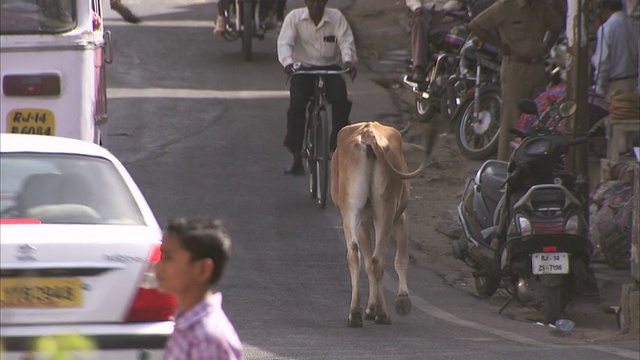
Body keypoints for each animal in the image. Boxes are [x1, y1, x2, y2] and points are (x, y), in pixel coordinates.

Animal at [330, 121, 424, 330]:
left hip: (351, 210)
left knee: (354, 256)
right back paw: (382, 313)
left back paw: (355, 314)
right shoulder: (401, 217)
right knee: (377, 259)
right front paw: (402, 300)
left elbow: (365, 261)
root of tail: (368, 132)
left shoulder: (364, 222)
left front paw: (370, 308)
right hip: (385, 211)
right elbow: (401, 259)